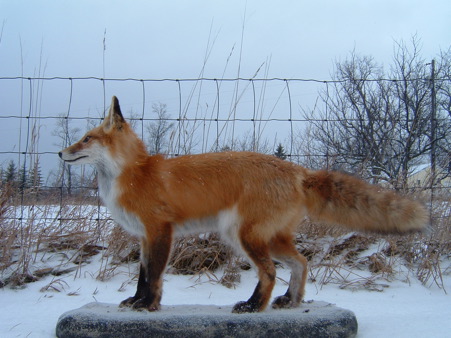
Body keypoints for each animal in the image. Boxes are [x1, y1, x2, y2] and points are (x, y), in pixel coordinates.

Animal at [59, 96, 428, 312]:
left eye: (87, 139)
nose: (61, 153)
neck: (134, 174)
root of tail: (298, 170)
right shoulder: (144, 237)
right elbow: (142, 274)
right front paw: (137, 301)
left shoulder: (160, 230)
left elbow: (154, 276)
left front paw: (148, 304)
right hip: (269, 238)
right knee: (301, 263)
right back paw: (290, 301)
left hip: (243, 236)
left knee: (270, 272)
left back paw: (254, 306)